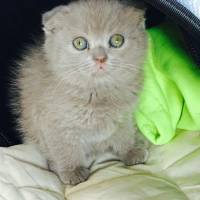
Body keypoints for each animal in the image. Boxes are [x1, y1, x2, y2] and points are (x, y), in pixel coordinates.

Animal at [12, 0, 148, 184]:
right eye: (79, 43)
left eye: (117, 40)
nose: (100, 58)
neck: (97, 94)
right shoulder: (53, 124)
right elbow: (64, 149)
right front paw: (72, 171)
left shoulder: (123, 117)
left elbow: (125, 134)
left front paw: (130, 151)